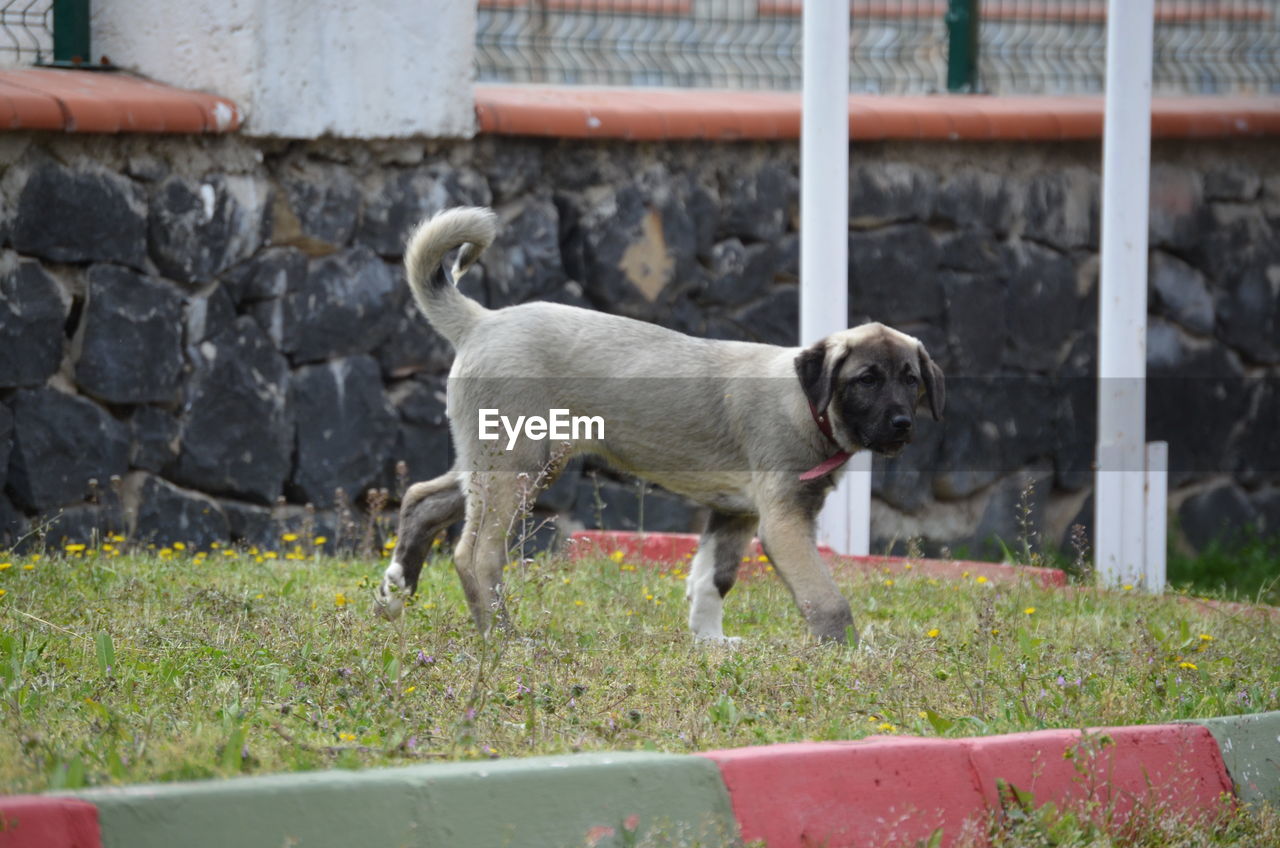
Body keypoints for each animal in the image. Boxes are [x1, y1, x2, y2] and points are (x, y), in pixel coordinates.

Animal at [373, 207, 942, 645]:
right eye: (866, 379)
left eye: (910, 379)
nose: (901, 425)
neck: (807, 403)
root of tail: (482, 320)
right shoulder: (784, 522)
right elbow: (826, 598)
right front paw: (851, 655)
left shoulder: (735, 512)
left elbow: (712, 580)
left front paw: (711, 643)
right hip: (515, 465)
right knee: (475, 554)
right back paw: (505, 638)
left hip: (505, 461)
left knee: (422, 500)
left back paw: (393, 596)